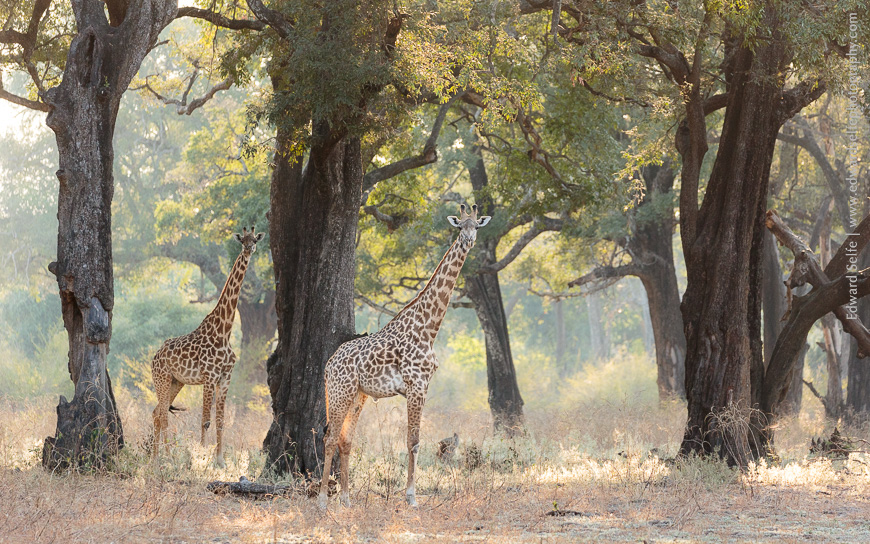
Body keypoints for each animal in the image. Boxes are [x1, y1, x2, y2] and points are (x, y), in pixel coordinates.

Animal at [151, 227, 264, 468]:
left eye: (255, 239)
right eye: (242, 240)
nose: (249, 249)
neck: (225, 331)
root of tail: (154, 358)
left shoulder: (225, 378)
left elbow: (220, 420)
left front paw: (220, 460)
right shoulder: (209, 377)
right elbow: (205, 420)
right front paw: (202, 456)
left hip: (176, 382)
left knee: (157, 412)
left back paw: (155, 458)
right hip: (162, 379)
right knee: (163, 414)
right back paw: (168, 458)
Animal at [318, 204, 491, 508]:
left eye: (477, 227)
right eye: (460, 226)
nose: (468, 241)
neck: (429, 327)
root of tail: (329, 365)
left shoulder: (423, 386)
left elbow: (415, 441)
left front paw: (410, 495)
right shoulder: (416, 385)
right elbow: (413, 441)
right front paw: (411, 498)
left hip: (357, 395)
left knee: (345, 440)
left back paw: (347, 500)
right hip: (340, 392)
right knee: (329, 438)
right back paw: (322, 501)